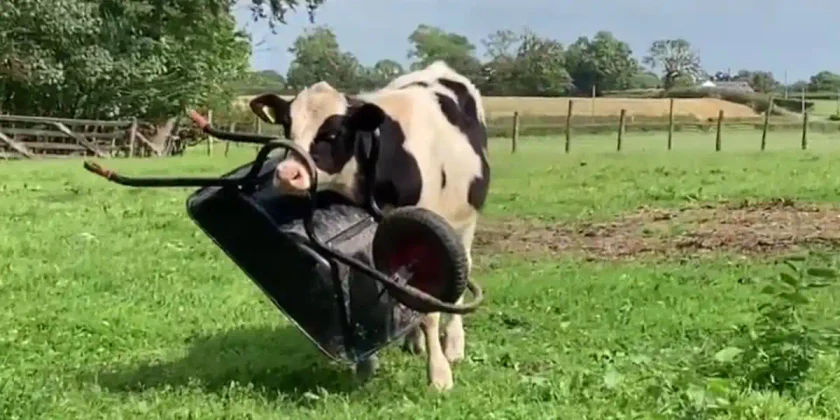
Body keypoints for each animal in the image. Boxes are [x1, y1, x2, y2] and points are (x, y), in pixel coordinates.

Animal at [247, 60, 490, 391]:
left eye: (334, 133)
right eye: (287, 126)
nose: (287, 173)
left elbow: (427, 310)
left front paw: (439, 375)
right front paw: (366, 365)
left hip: (464, 222)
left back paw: (453, 345)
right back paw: (414, 342)